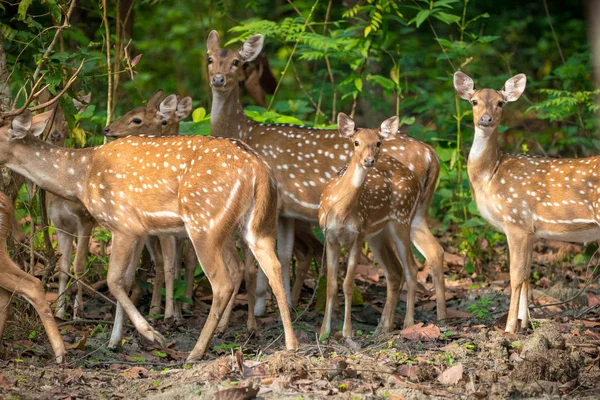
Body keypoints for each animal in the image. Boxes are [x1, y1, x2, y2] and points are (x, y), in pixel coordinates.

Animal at [0, 97, 298, 362]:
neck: (81, 177)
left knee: (223, 281)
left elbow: (113, 280)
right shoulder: (138, 230)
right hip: (251, 225)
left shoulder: (122, 223)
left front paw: (152, 334)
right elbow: (126, 280)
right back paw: (290, 344)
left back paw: (196, 351)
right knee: (268, 267)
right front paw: (115, 341)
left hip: (204, 220)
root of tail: (259, 169)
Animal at [318, 112, 422, 338]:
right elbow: (331, 285)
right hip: (377, 235)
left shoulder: (357, 236)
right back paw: (383, 327)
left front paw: (347, 332)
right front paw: (323, 332)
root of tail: (415, 179)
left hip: (402, 219)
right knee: (394, 271)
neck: (341, 210)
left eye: (378, 142)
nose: (369, 160)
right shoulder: (330, 237)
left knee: (411, 267)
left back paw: (408, 324)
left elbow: (348, 284)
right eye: (356, 142)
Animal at [452, 71, 600, 332]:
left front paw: (510, 327)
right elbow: (528, 276)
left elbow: (515, 276)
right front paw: (525, 323)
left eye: (501, 103)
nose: (486, 119)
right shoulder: (531, 231)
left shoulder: (516, 222)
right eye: (474, 101)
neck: (490, 175)